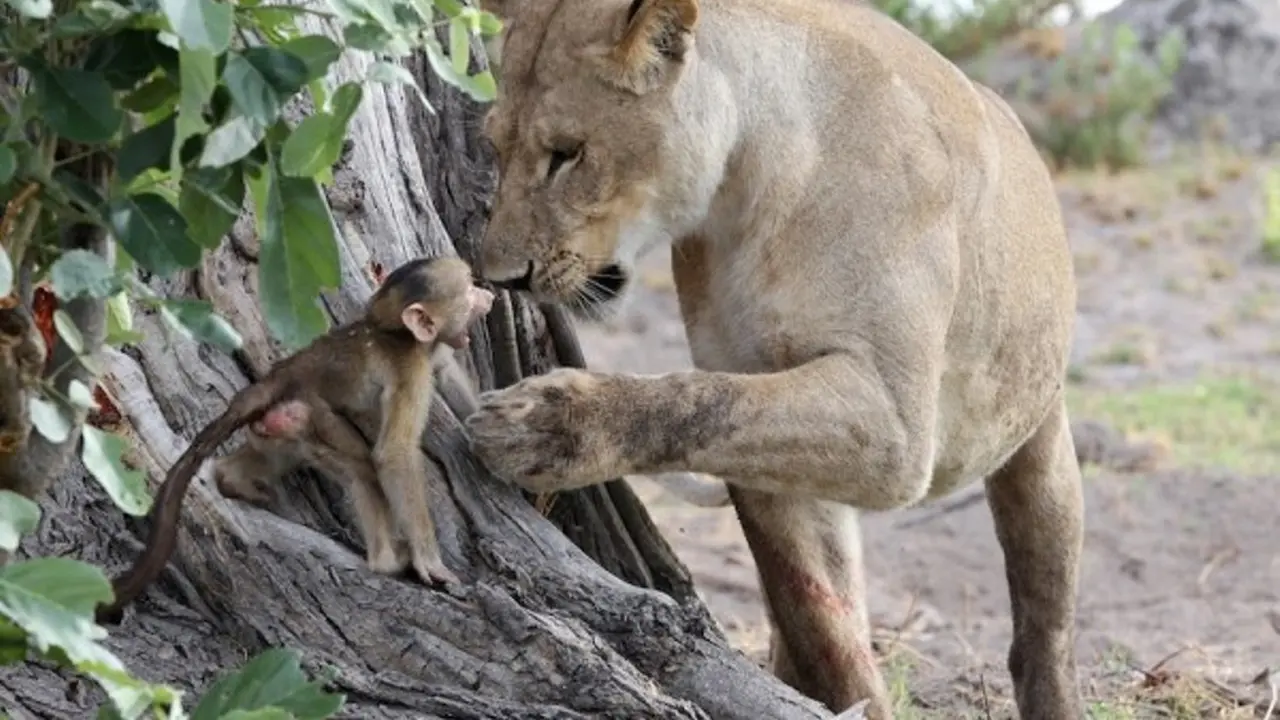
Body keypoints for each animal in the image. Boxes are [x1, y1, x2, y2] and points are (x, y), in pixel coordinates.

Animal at [96, 256, 494, 621]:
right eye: (468, 291)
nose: (488, 296)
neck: (396, 333)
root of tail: (282, 373)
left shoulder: (434, 353)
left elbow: (450, 375)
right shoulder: (410, 367)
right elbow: (393, 453)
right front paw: (430, 562)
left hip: (278, 424)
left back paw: (232, 479)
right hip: (312, 412)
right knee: (360, 465)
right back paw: (385, 560)